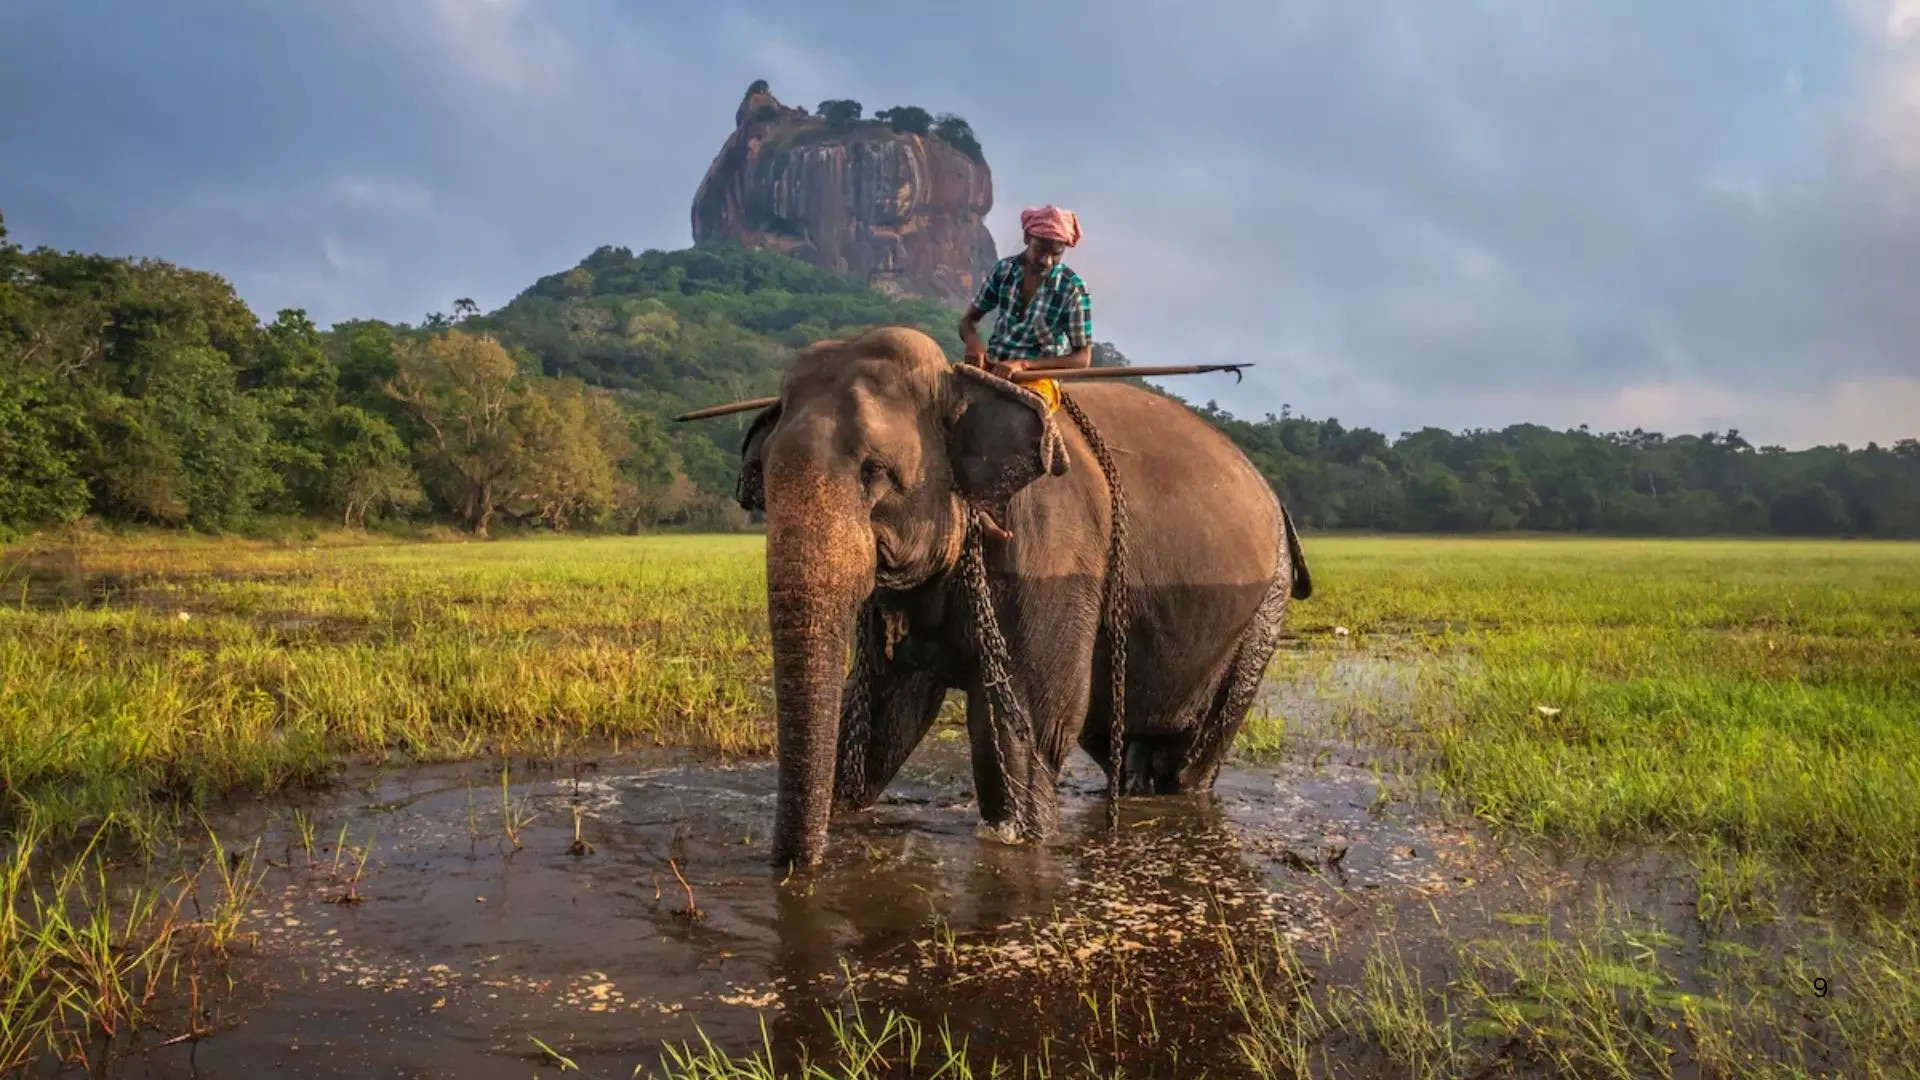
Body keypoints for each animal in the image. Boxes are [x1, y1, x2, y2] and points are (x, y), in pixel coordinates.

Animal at [729, 320, 1305, 864]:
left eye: (877, 471)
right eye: (762, 476)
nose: (797, 867)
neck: (959, 383)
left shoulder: (1050, 553)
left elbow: (1020, 727)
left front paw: (1020, 840)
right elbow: (882, 718)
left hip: (1263, 609)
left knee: (1191, 755)